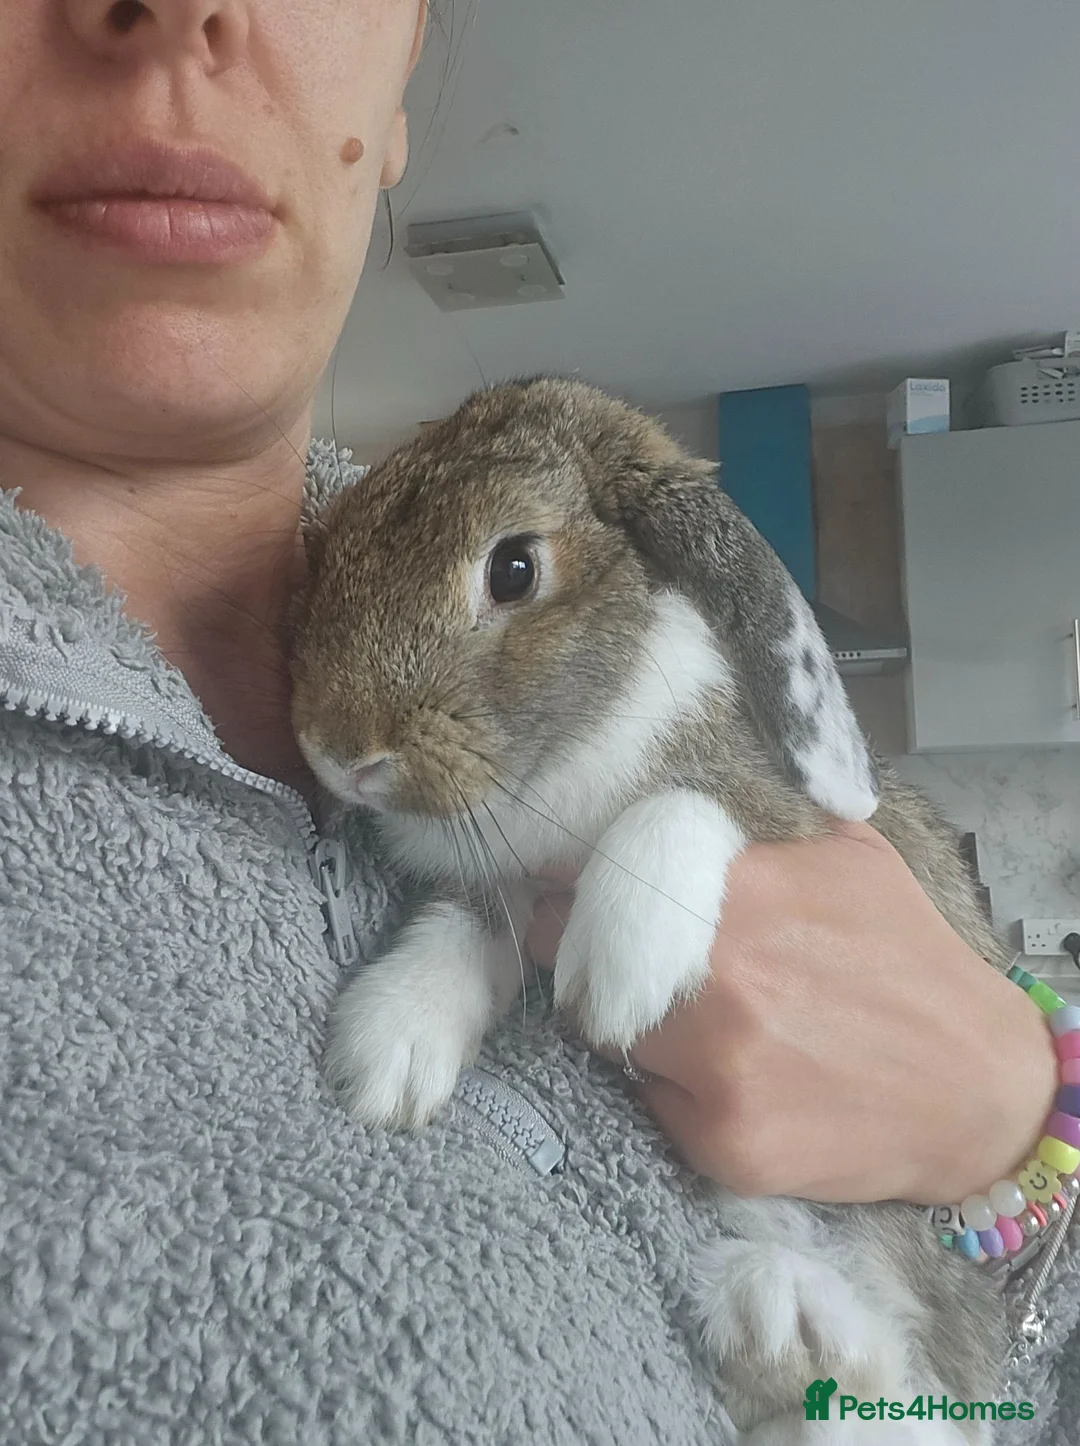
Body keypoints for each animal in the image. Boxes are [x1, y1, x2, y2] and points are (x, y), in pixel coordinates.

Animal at [290, 377, 1009, 1444]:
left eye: (513, 567)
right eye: (333, 547)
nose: (339, 751)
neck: (570, 750)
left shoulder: (775, 807)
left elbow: (690, 798)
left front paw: (617, 973)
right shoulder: (508, 887)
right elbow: (460, 931)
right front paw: (389, 1054)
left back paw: (792, 1326)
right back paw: (778, 1324)